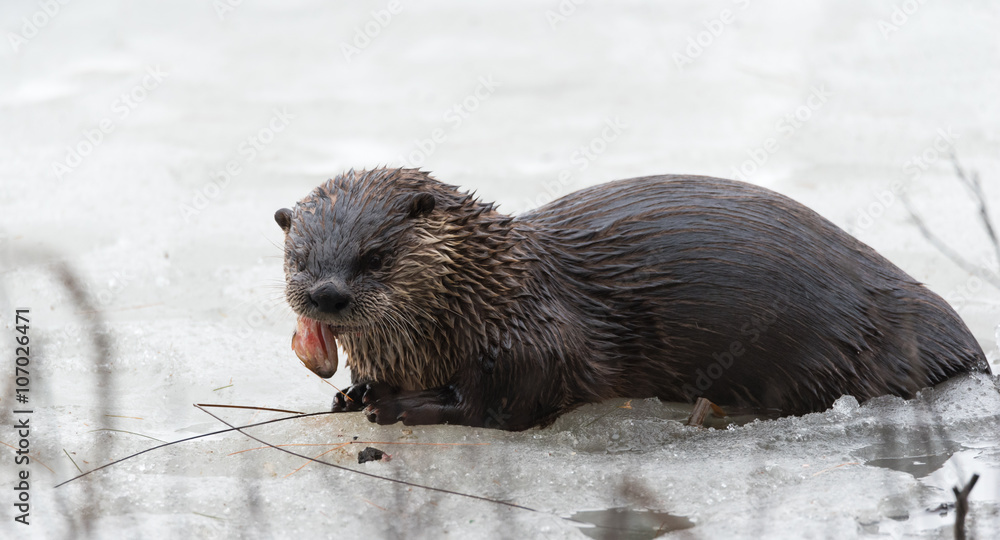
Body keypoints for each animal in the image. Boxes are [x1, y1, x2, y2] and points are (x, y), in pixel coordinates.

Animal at [275, 168, 991, 431]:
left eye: (374, 256)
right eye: (300, 258)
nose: (327, 295)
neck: (484, 296)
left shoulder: (529, 339)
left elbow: (501, 406)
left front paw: (397, 406)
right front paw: (354, 392)